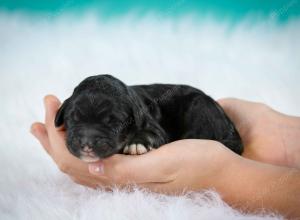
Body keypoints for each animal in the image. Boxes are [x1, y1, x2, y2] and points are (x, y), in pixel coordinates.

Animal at [55, 75, 244, 162]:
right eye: (73, 119)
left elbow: (149, 134)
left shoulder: (155, 128)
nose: (87, 143)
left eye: (114, 123)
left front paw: (136, 144)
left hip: (200, 106)